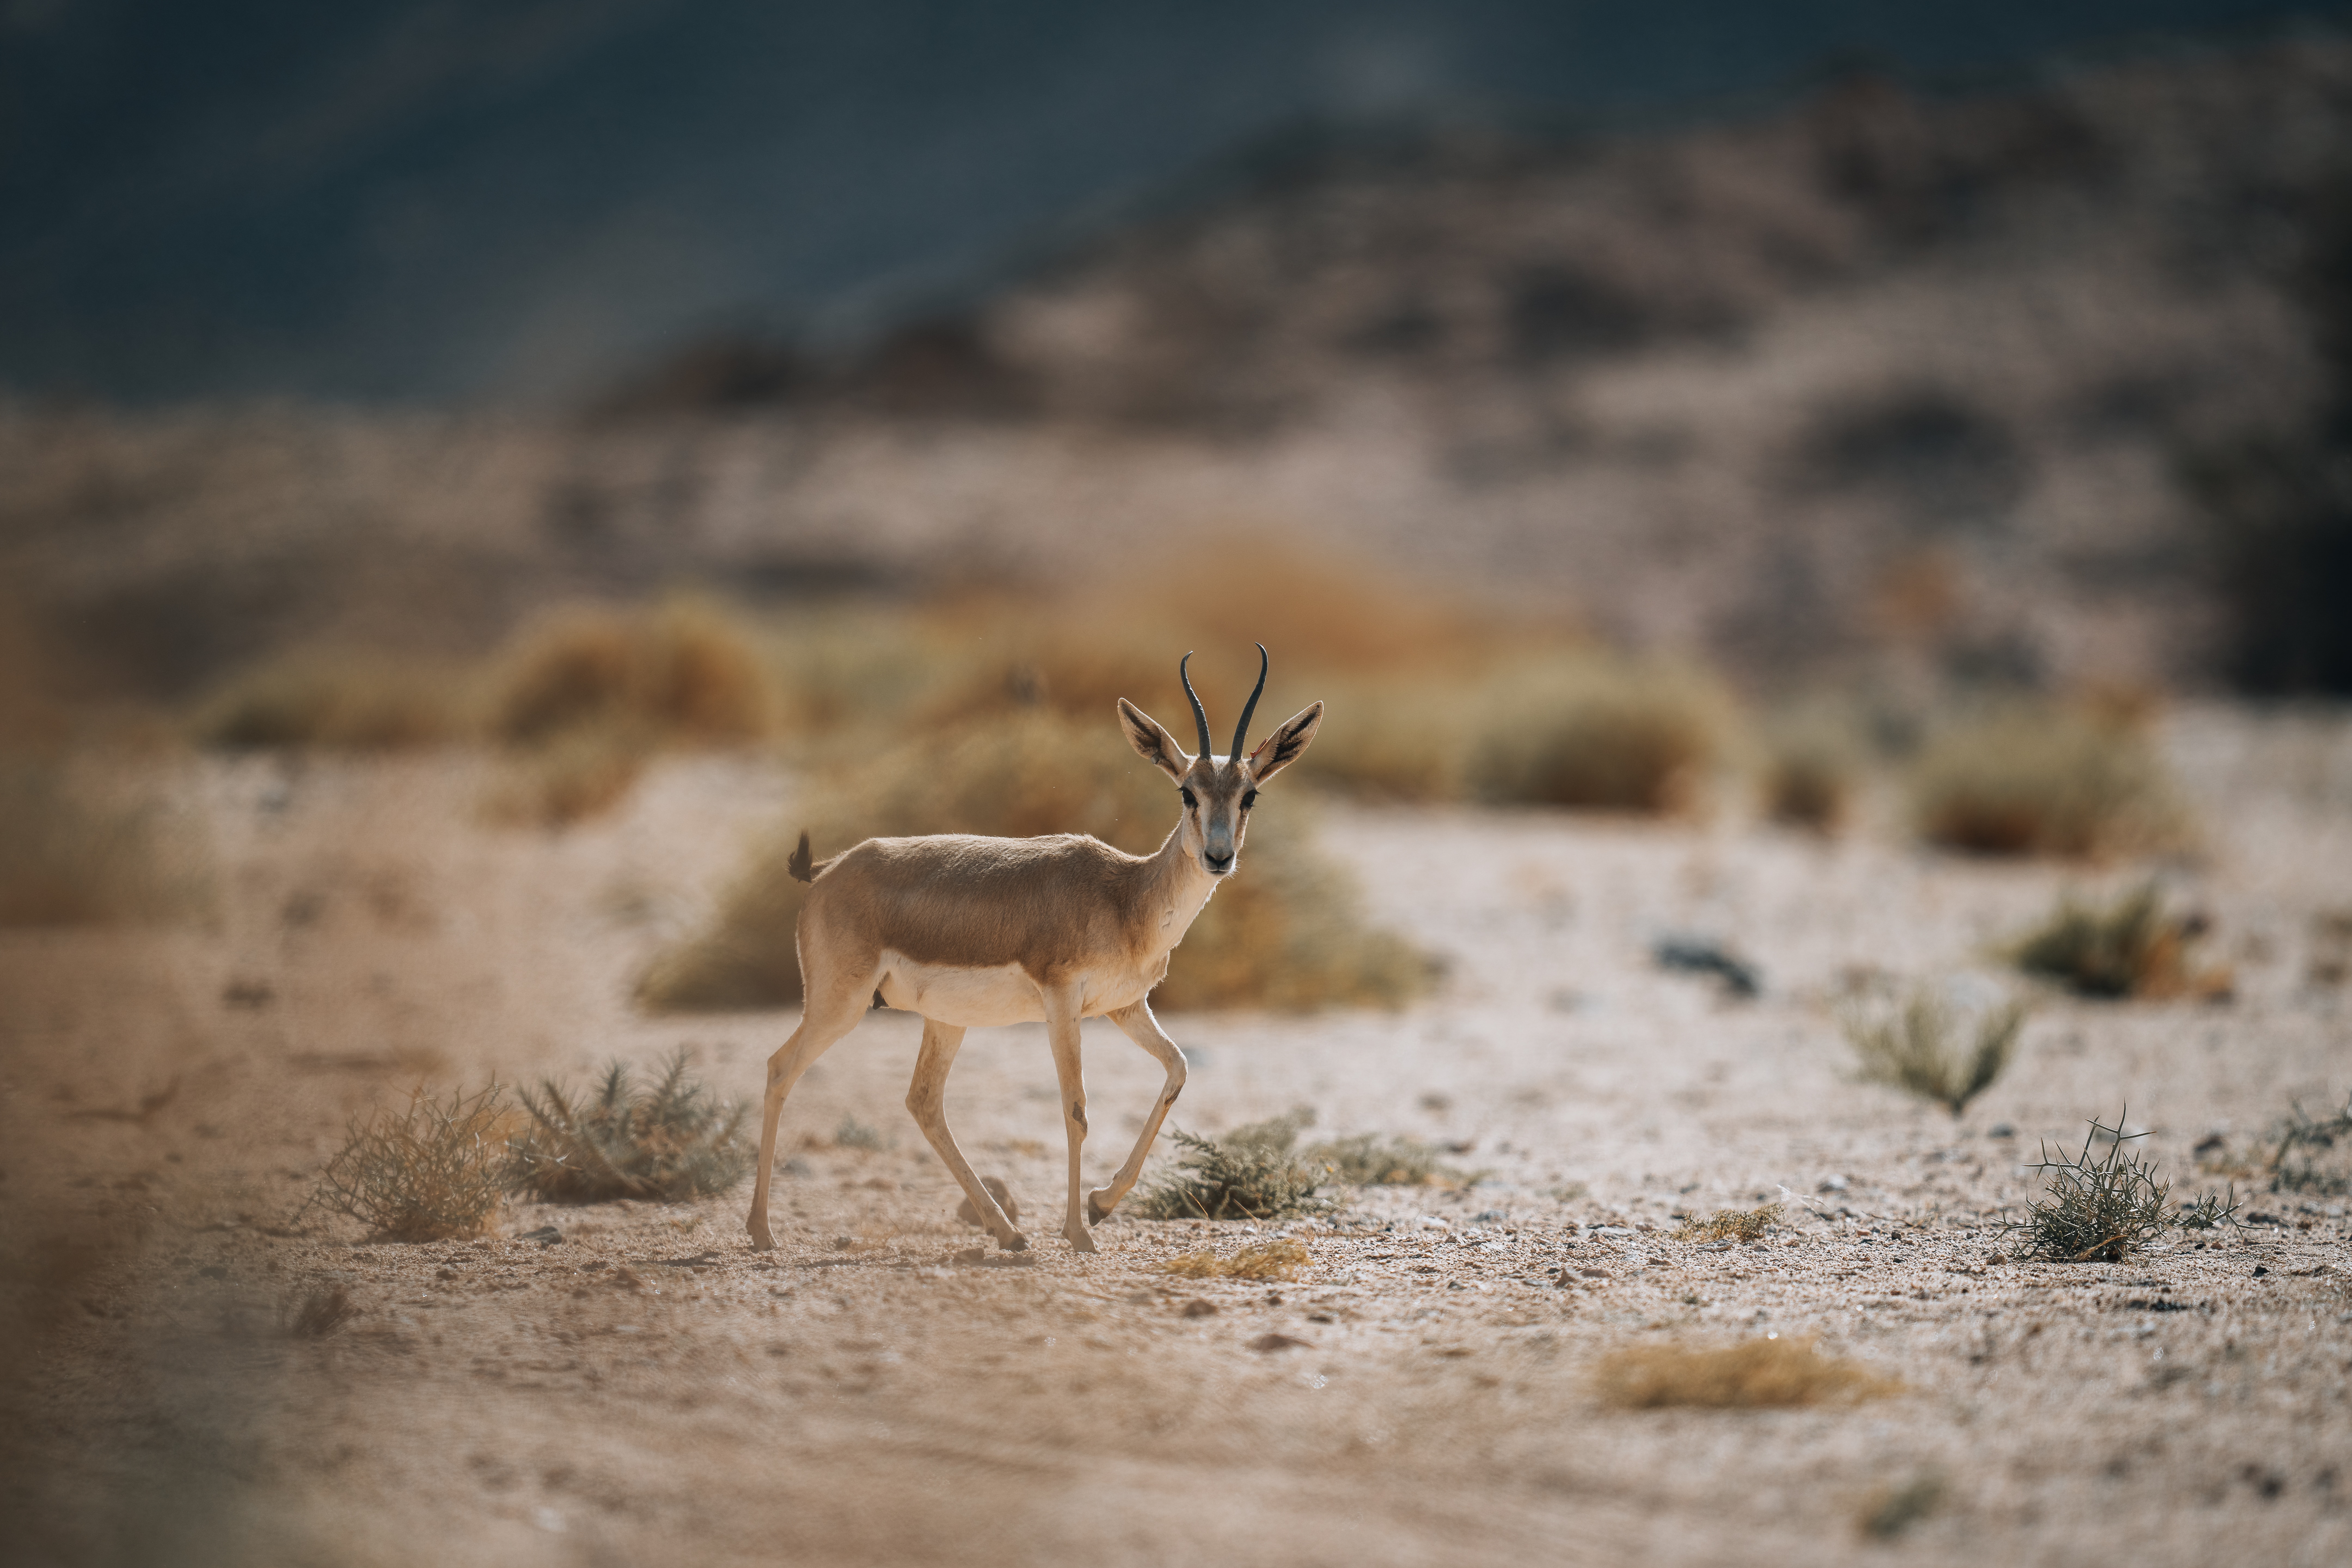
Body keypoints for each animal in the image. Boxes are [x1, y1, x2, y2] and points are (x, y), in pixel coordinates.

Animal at [746, 646, 1324, 1255]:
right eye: (1187, 791)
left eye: (1249, 795)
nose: (1218, 857)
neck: (1124, 897)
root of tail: (830, 870)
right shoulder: (1061, 1000)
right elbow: (1076, 1108)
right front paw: (1079, 1231)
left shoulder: (1125, 1007)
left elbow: (1178, 1069)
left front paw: (1101, 1204)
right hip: (842, 1004)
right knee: (780, 1069)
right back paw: (762, 1231)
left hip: (945, 1020)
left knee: (923, 1102)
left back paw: (1007, 1231)